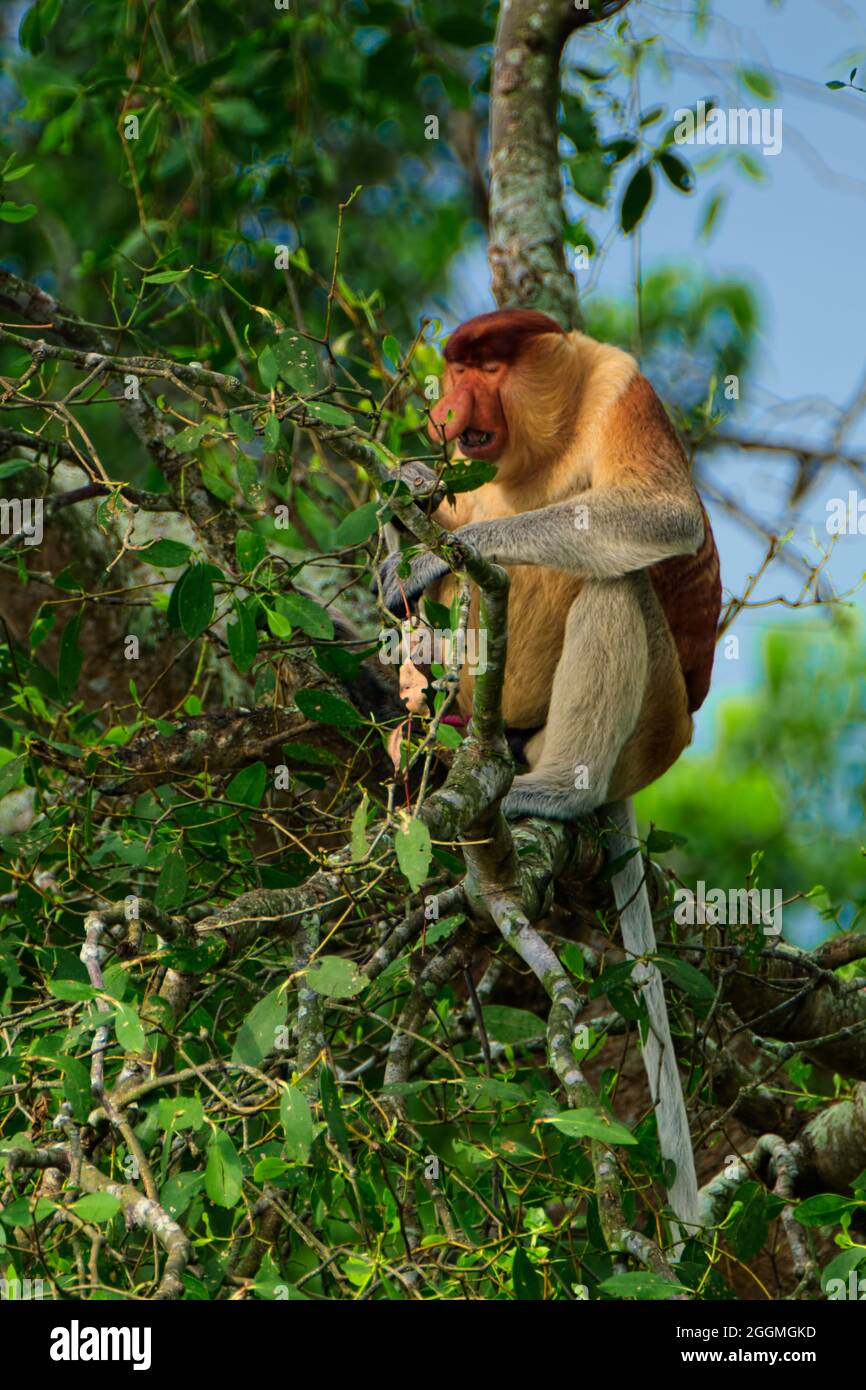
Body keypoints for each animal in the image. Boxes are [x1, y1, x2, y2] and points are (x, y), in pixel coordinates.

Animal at [378, 307, 722, 1239]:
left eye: (489, 367)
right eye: (456, 369)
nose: (447, 410)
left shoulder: (619, 388)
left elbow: (662, 519)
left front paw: (445, 551)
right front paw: (409, 499)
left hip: (660, 726)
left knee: (615, 588)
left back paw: (557, 788)